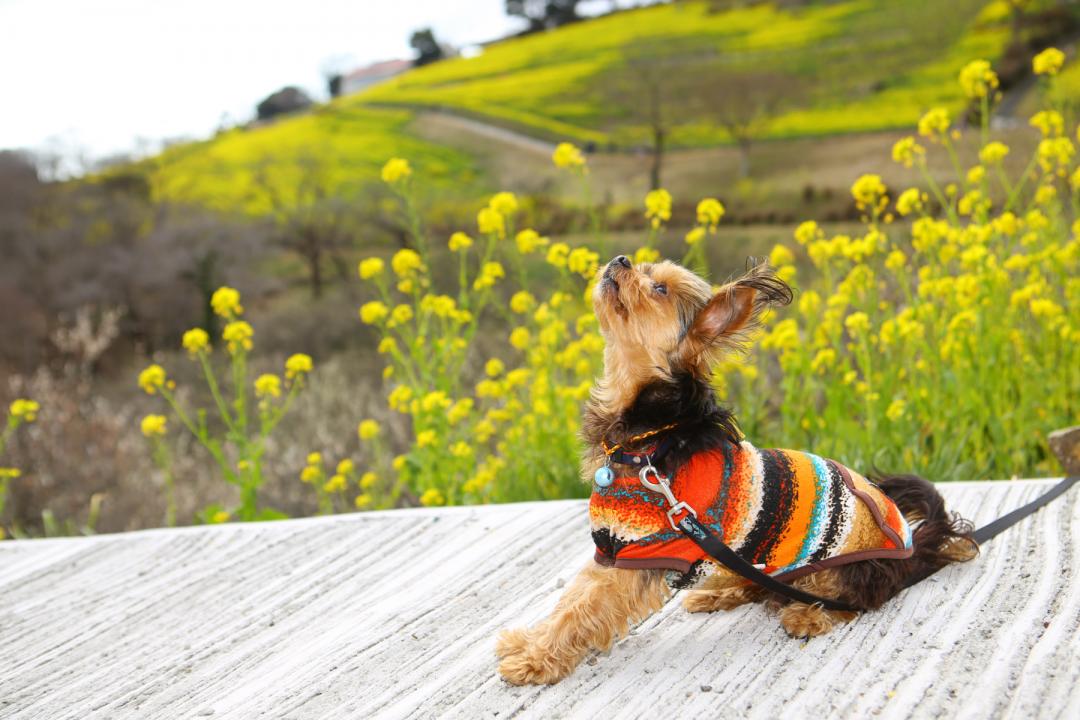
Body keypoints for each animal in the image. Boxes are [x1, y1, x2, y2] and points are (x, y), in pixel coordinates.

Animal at [496, 254, 980, 686]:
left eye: (659, 288)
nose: (621, 259)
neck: (650, 432)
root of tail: (916, 545)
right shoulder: (613, 544)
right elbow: (572, 599)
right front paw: (530, 645)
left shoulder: (641, 548)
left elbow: (582, 608)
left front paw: (535, 661)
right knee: (761, 586)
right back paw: (721, 593)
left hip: (847, 570)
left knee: (858, 600)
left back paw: (808, 615)